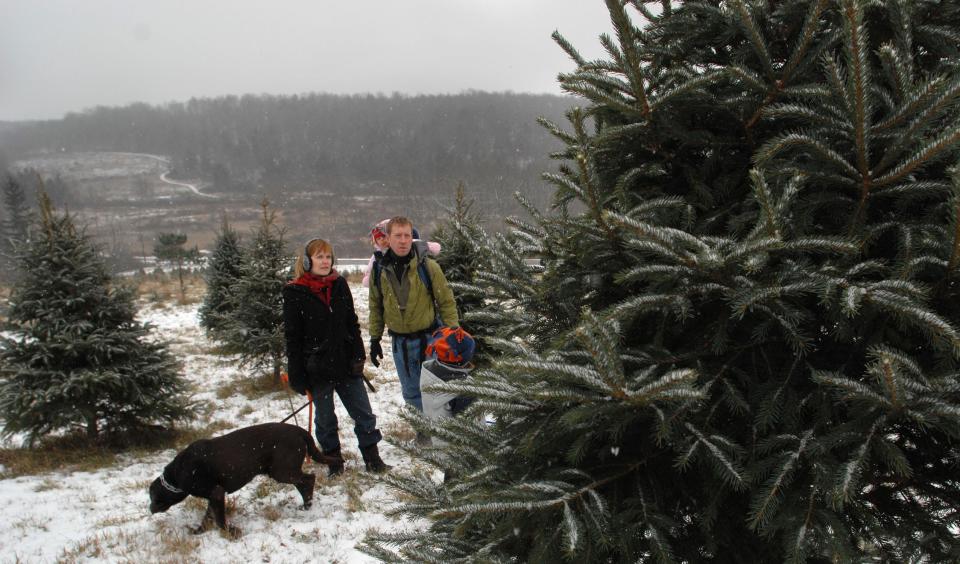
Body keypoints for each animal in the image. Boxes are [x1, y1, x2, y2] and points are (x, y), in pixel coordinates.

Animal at [148, 424, 344, 532]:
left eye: (153, 497)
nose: (150, 509)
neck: (177, 474)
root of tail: (300, 431)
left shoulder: (216, 492)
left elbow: (219, 520)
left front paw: (231, 533)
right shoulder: (214, 496)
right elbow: (208, 517)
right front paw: (198, 532)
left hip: (282, 470)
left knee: (309, 479)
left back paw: (308, 505)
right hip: (281, 470)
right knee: (304, 482)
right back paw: (306, 506)